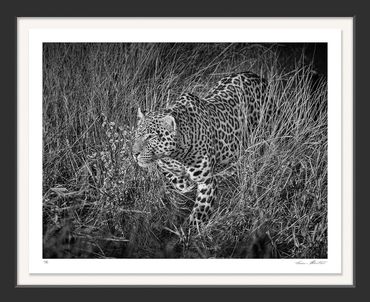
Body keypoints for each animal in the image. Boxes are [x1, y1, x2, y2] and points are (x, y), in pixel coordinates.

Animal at [132, 71, 270, 226]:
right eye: (137, 134)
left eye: (150, 137)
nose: (134, 153)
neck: (176, 156)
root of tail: (255, 75)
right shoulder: (172, 174)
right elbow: (178, 188)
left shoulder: (207, 182)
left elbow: (199, 213)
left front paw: (189, 231)